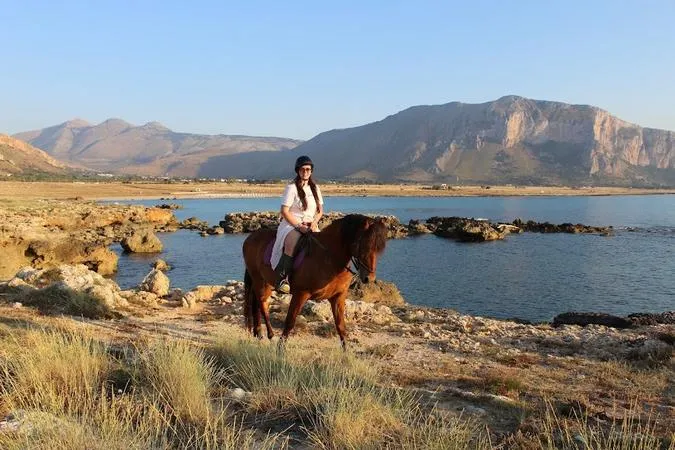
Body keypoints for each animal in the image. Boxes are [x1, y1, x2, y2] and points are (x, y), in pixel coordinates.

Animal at [242, 214, 388, 348]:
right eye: (361, 244)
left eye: (378, 248)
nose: (369, 278)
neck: (330, 258)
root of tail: (250, 237)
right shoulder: (300, 294)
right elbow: (290, 322)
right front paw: (280, 349)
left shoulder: (338, 296)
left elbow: (340, 326)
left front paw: (346, 353)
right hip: (259, 280)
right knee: (262, 304)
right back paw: (270, 335)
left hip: (264, 282)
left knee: (258, 303)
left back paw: (259, 333)